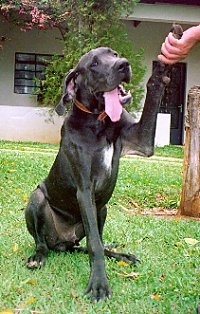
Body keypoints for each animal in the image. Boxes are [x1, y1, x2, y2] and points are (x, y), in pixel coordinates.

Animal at [24, 47, 169, 302]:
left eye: (114, 54)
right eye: (93, 65)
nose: (123, 64)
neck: (98, 121)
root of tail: (63, 242)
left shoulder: (141, 141)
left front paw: (161, 68)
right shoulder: (85, 190)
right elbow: (95, 244)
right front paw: (99, 284)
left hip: (102, 208)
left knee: (90, 243)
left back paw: (120, 255)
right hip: (39, 199)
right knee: (42, 241)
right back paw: (38, 256)